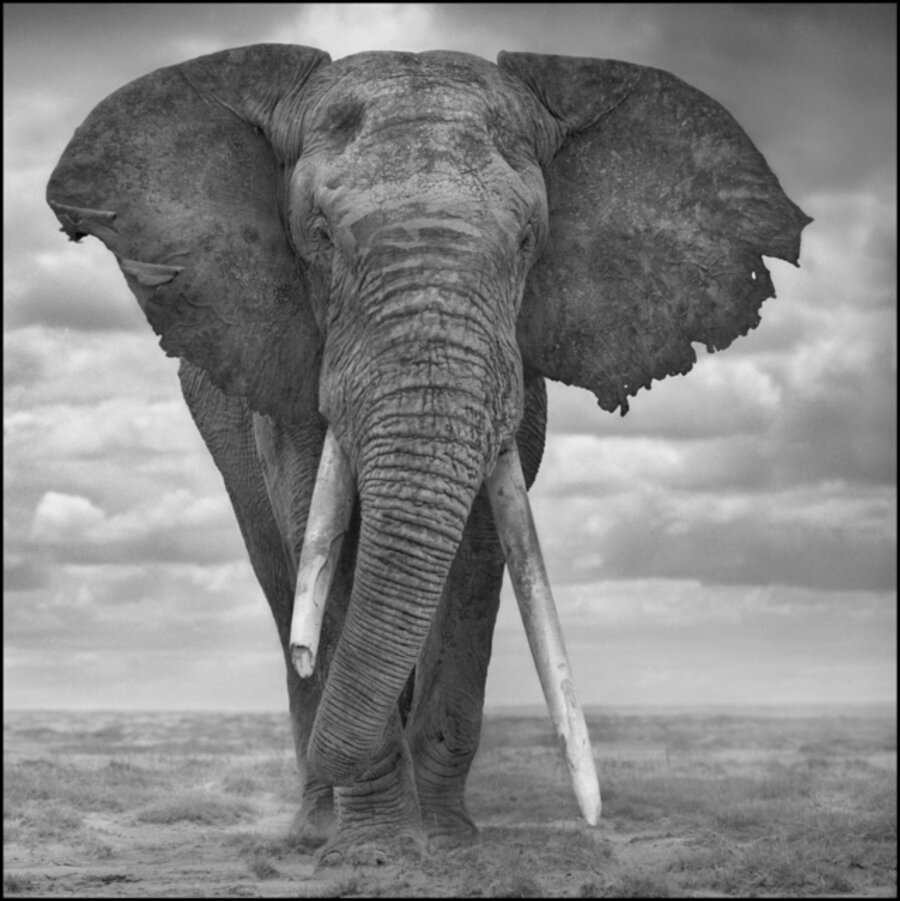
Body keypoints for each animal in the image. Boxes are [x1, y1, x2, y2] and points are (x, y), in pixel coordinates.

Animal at [47, 44, 809, 863]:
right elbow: (326, 545)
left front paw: (447, 844)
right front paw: (374, 851)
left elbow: (477, 554)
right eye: (319, 235)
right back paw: (315, 827)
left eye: (527, 241)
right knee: (282, 578)